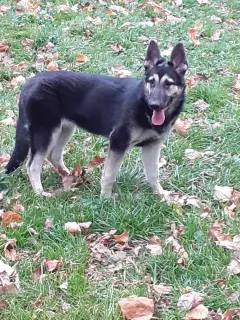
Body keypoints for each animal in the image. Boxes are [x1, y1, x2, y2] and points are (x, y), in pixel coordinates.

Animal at [5, 40, 188, 198]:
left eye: (168, 84)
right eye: (151, 82)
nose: (154, 105)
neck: (144, 107)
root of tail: (29, 84)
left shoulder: (152, 146)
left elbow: (153, 174)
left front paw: (161, 195)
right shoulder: (118, 143)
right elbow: (109, 174)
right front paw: (105, 198)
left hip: (65, 129)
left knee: (54, 156)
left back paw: (70, 177)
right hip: (46, 132)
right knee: (32, 165)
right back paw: (41, 193)